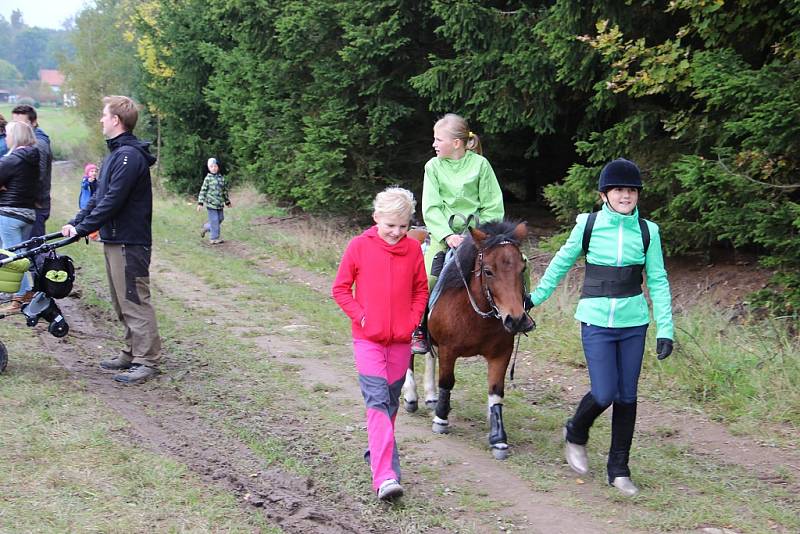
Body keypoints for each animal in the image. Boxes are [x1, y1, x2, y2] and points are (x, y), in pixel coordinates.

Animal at [428, 221, 536, 460]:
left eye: (522, 269)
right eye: (488, 271)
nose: (516, 320)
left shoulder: (501, 354)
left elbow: (496, 391)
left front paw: (498, 438)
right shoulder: (448, 349)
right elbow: (446, 382)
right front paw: (441, 418)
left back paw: (429, 397)